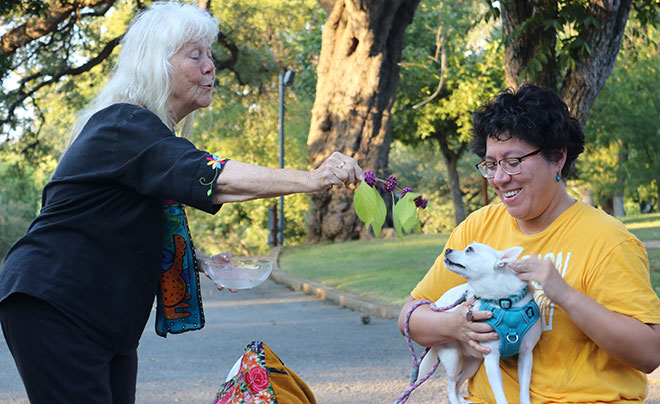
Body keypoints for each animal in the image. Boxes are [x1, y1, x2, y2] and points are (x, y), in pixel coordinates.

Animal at [418, 241, 540, 404]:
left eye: (469, 250)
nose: (447, 249)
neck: (504, 303)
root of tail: (437, 304)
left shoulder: (526, 355)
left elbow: (524, 391)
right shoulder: (491, 359)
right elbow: (500, 396)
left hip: (473, 363)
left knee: (457, 383)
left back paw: (463, 401)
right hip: (452, 356)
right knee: (450, 386)